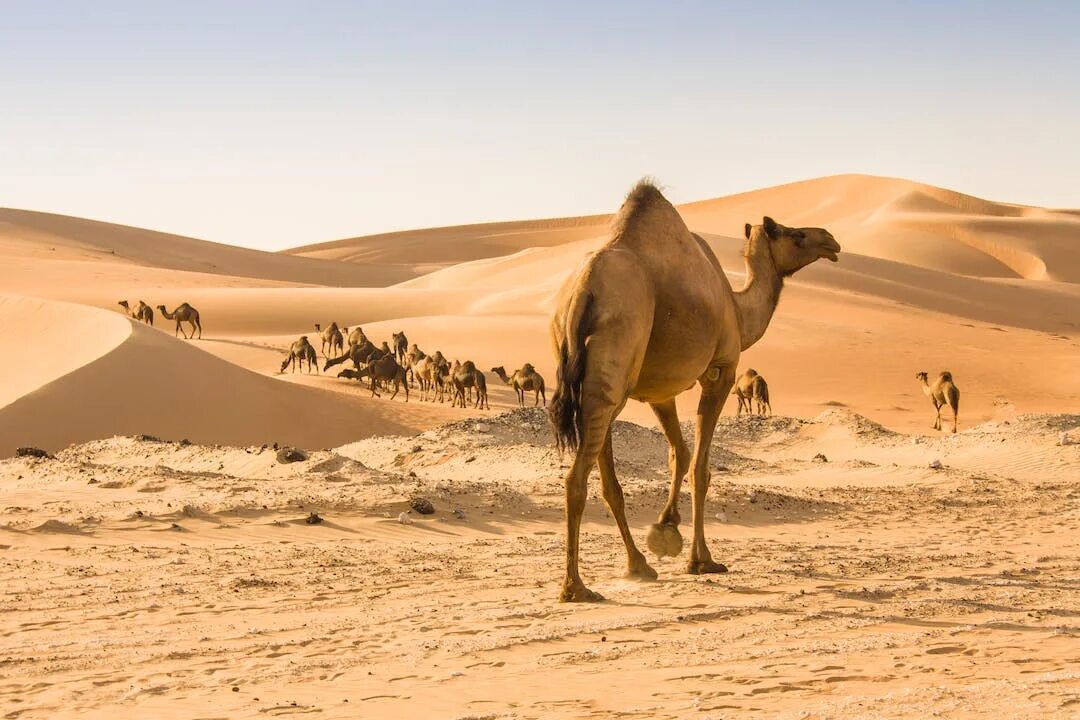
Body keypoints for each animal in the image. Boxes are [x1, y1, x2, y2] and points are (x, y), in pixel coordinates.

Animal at [548, 181, 842, 604]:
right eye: (795, 234)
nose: (830, 240)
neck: (738, 308)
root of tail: (582, 293)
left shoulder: (659, 390)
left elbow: (679, 454)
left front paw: (665, 530)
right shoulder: (721, 370)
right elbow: (701, 468)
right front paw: (701, 560)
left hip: (598, 377)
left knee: (606, 478)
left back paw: (638, 566)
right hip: (616, 357)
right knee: (577, 478)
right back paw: (576, 587)